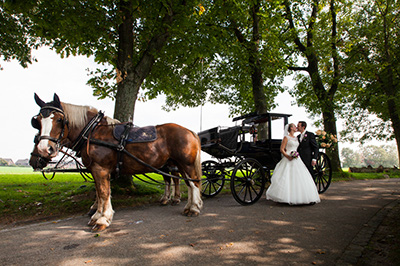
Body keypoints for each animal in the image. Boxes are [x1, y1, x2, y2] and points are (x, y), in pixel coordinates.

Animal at [30, 93, 203, 231]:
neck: (92, 132)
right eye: (37, 121)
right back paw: (187, 206)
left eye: (59, 120)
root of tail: (189, 131)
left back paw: (194, 208)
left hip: (185, 164)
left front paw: (102, 219)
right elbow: (100, 194)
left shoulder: (101, 169)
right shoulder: (96, 170)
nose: (45, 149)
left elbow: (104, 193)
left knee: (194, 183)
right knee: (187, 183)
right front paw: (96, 215)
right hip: (178, 164)